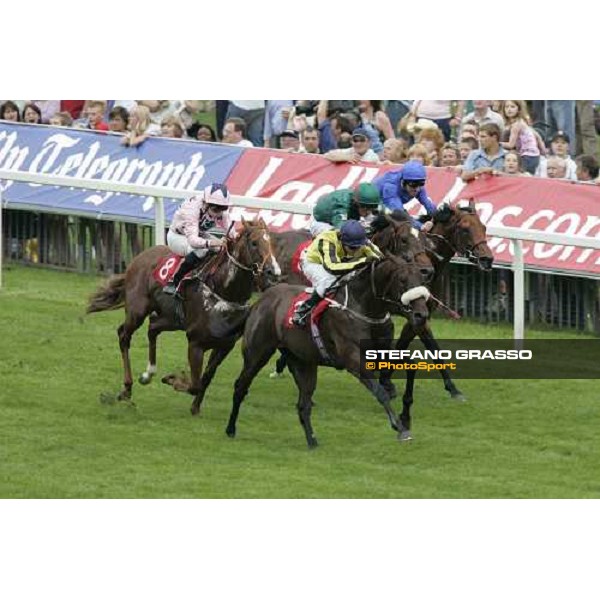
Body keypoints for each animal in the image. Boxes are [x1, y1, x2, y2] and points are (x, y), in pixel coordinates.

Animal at [86, 218, 282, 410]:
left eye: (271, 242)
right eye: (254, 243)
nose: (274, 272)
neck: (224, 292)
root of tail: (139, 257)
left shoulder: (225, 345)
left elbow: (206, 378)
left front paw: (195, 408)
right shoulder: (195, 343)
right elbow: (195, 384)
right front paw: (171, 379)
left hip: (172, 318)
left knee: (153, 326)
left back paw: (148, 374)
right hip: (137, 310)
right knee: (124, 335)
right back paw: (127, 387)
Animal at [225, 255, 432, 448]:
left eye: (421, 280)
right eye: (402, 280)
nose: (421, 315)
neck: (364, 307)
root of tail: (259, 301)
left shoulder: (382, 352)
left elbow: (411, 367)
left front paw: (406, 415)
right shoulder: (352, 358)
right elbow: (379, 391)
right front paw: (401, 428)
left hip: (303, 362)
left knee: (303, 404)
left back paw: (312, 441)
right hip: (257, 354)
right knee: (240, 386)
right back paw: (230, 429)